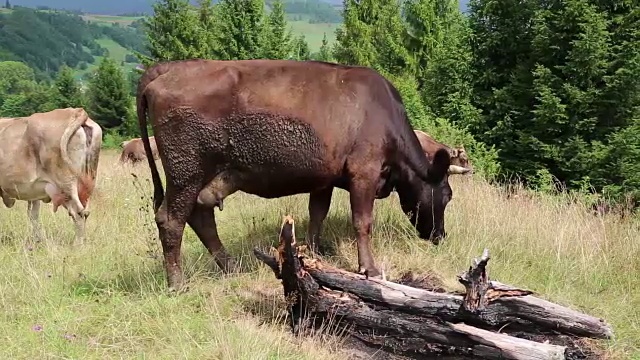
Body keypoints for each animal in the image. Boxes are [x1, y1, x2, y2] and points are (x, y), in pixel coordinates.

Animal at [0, 107, 102, 245]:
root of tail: (76, 111)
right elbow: (33, 215)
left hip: (66, 183)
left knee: (78, 213)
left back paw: (77, 244)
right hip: (86, 183)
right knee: (83, 211)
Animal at [136, 58, 456, 290]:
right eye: (447, 195)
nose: (440, 236)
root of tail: (167, 68)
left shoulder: (324, 179)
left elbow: (317, 214)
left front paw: (314, 254)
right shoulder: (364, 171)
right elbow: (362, 222)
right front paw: (370, 269)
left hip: (201, 176)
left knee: (200, 217)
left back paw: (231, 267)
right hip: (185, 173)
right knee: (172, 221)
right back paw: (177, 283)